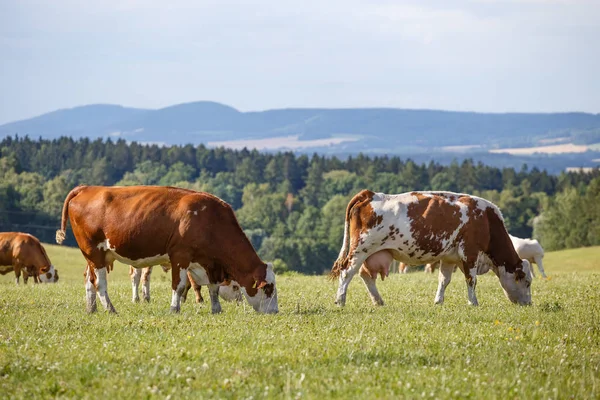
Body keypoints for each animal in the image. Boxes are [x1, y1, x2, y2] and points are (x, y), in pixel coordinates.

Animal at [55, 186, 278, 314]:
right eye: (268, 288)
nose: (274, 311)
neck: (210, 220)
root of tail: (87, 188)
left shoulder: (209, 263)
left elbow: (213, 288)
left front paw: (216, 310)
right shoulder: (180, 256)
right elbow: (178, 286)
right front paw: (174, 308)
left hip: (94, 256)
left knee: (88, 279)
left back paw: (91, 309)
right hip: (94, 251)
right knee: (99, 283)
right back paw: (110, 309)